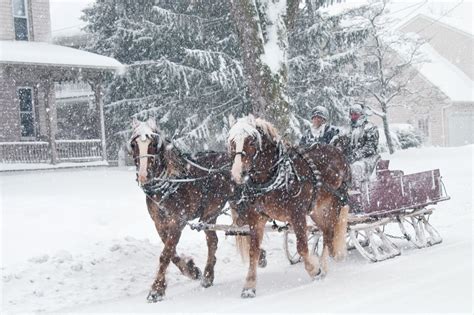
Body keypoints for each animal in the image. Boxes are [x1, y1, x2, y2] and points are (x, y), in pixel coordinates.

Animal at [130, 118, 237, 304]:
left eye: (153, 144)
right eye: (134, 145)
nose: (144, 176)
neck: (169, 182)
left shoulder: (177, 221)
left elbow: (165, 254)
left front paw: (156, 290)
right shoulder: (159, 223)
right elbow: (171, 252)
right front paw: (191, 270)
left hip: (214, 210)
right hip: (214, 212)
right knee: (220, 237)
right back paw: (208, 276)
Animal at [228, 115, 350, 298]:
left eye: (251, 141)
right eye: (232, 142)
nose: (237, 173)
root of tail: (337, 151)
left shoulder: (297, 214)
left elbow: (302, 248)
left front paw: (314, 270)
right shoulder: (256, 218)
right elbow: (253, 251)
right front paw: (249, 286)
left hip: (334, 204)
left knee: (330, 234)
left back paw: (323, 267)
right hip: (316, 210)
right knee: (326, 232)